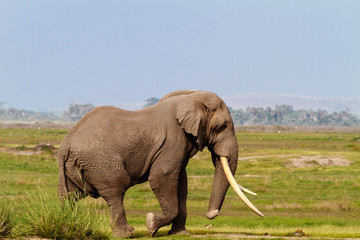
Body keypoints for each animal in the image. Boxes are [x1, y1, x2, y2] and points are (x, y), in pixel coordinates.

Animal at [57, 90, 262, 238]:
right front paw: (151, 225)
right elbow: (162, 177)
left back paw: (66, 224)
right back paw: (127, 234)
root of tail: (66, 144)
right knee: (115, 191)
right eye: (223, 126)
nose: (211, 215)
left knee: (71, 196)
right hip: (101, 162)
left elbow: (181, 184)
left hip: (75, 167)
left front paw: (180, 234)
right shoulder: (173, 140)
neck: (190, 97)